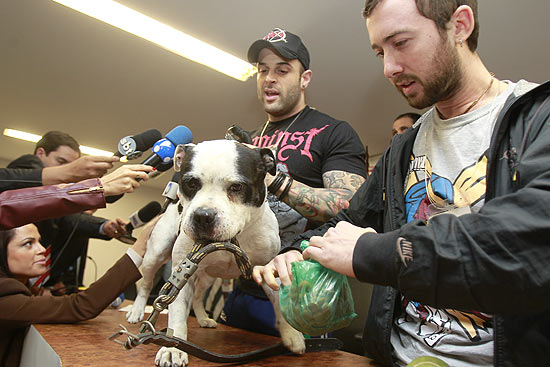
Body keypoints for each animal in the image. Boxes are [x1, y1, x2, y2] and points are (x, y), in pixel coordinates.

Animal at [126, 139, 306, 366]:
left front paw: (292, 335)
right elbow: (176, 313)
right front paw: (172, 347)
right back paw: (137, 310)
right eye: (191, 183)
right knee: (147, 284)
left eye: (236, 187)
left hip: (208, 276)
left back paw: (203, 318)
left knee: (198, 296)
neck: (234, 238)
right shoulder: (181, 273)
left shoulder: (270, 270)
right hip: (155, 256)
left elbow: (281, 304)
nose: (203, 215)